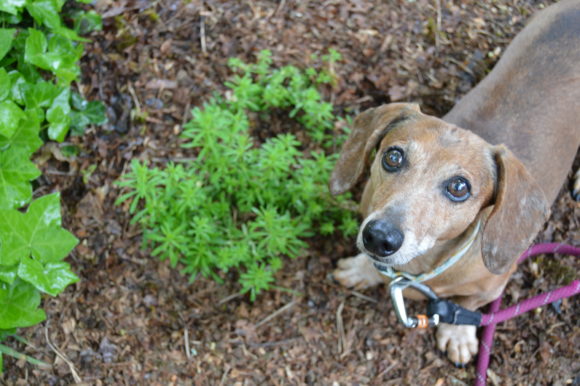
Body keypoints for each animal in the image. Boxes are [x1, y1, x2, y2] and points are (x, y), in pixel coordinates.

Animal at [330, 0, 580, 364]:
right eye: (393, 156)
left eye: (459, 187)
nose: (379, 237)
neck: (422, 268)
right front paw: (361, 268)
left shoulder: (491, 288)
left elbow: (466, 308)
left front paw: (457, 334)